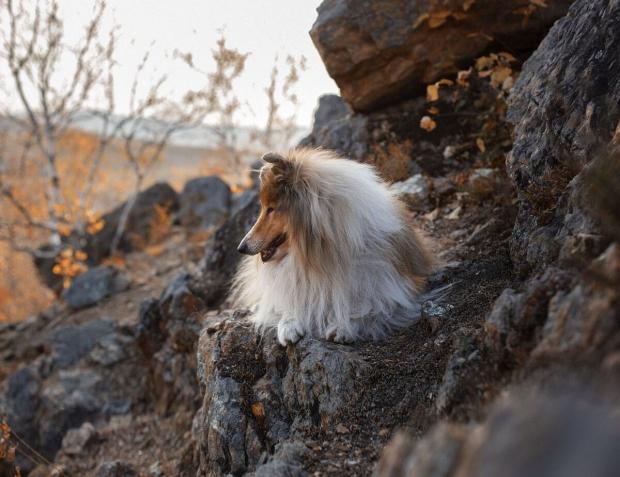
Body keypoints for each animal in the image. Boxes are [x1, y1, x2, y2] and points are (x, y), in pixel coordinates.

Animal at [230, 147, 434, 344]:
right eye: (264, 208)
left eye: (271, 209)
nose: (241, 248)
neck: (320, 256)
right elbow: (288, 301)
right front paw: (289, 324)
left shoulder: (394, 289)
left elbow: (370, 310)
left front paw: (344, 327)